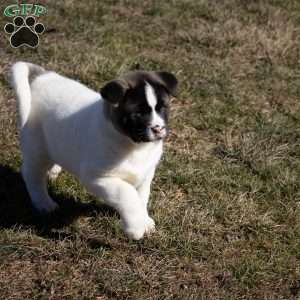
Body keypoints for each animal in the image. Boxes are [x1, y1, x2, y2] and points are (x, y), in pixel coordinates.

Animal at [10, 61, 177, 239]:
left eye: (162, 108)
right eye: (137, 113)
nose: (158, 129)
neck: (134, 146)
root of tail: (41, 76)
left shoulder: (145, 175)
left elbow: (141, 198)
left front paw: (144, 220)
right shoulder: (97, 178)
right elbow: (127, 194)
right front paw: (136, 227)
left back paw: (53, 171)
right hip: (37, 149)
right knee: (31, 175)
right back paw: (44, 203)